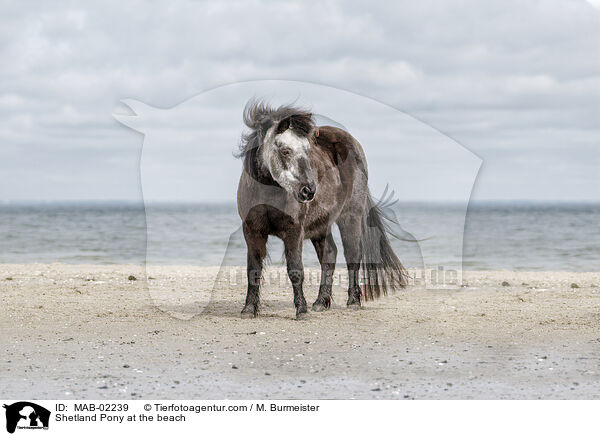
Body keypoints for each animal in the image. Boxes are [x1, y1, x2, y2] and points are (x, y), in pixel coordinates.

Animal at [234, 99, 408, 320]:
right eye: (285, 150)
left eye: (308, 151)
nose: (308, 191)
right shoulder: (252, 231)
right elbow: (253, 269)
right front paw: (248, 309)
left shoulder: (294, 231)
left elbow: (295, 270)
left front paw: (301, 310)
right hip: (321, 225)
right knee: (330, 255)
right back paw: (321, 302)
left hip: (350, 218)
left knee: (352, 255)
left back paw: (353, 301)